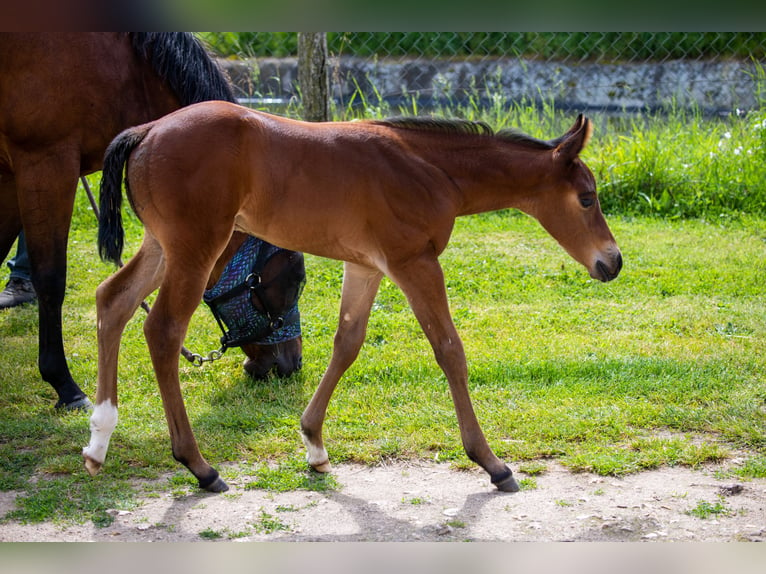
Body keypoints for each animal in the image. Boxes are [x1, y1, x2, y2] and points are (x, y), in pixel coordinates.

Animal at [0, 32, 306, 410]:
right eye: (294, 278)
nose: (293, 363)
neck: (121, 66)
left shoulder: (10, 175)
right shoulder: (44, 163)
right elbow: (51, 279)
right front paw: (64, 384)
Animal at [85, 103, 624, 496]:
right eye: (587, 197)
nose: (613, 262)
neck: (431, 169)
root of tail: (148, 130)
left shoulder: (366, 266)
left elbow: (347, 344)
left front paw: (314, 446)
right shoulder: (414, 261)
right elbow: (450, 350)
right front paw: (492, 463)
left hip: (163, 245)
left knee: (112, 300)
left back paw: (99, 440)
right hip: (197, 246)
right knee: (162, 329)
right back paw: (199, 466)